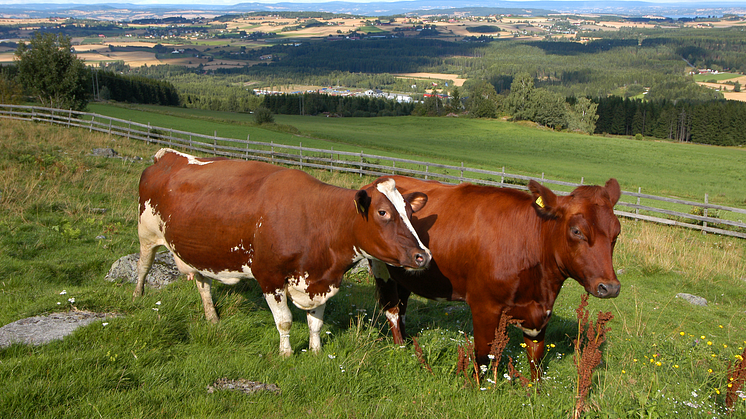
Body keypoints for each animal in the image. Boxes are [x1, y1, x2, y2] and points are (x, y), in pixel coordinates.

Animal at [134, 149, 430, 356]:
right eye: (383, 212)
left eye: (410, 211)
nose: (423, 256)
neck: (317, 220)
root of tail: (169, 156)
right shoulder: (269, 277)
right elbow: (285, 321)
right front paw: (286, 354)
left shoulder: (320, 281)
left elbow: (316, 323)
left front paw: (316, 351)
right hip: (146, 234)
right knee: (143, 266)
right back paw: (138, 295)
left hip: (197, 251)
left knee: (202, 282)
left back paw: (212, 317)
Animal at [368, 176, 620, 378]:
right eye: (576, 231)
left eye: (617, 233)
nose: (609, 287)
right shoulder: (484, 306)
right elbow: (483, 355)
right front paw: (479, 388)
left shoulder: (539, 313)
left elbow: (536, 359)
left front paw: (535, 392)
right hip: (381, 267)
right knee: (392, 310)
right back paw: (400, 347)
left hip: (405, 275)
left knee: (402, 305)